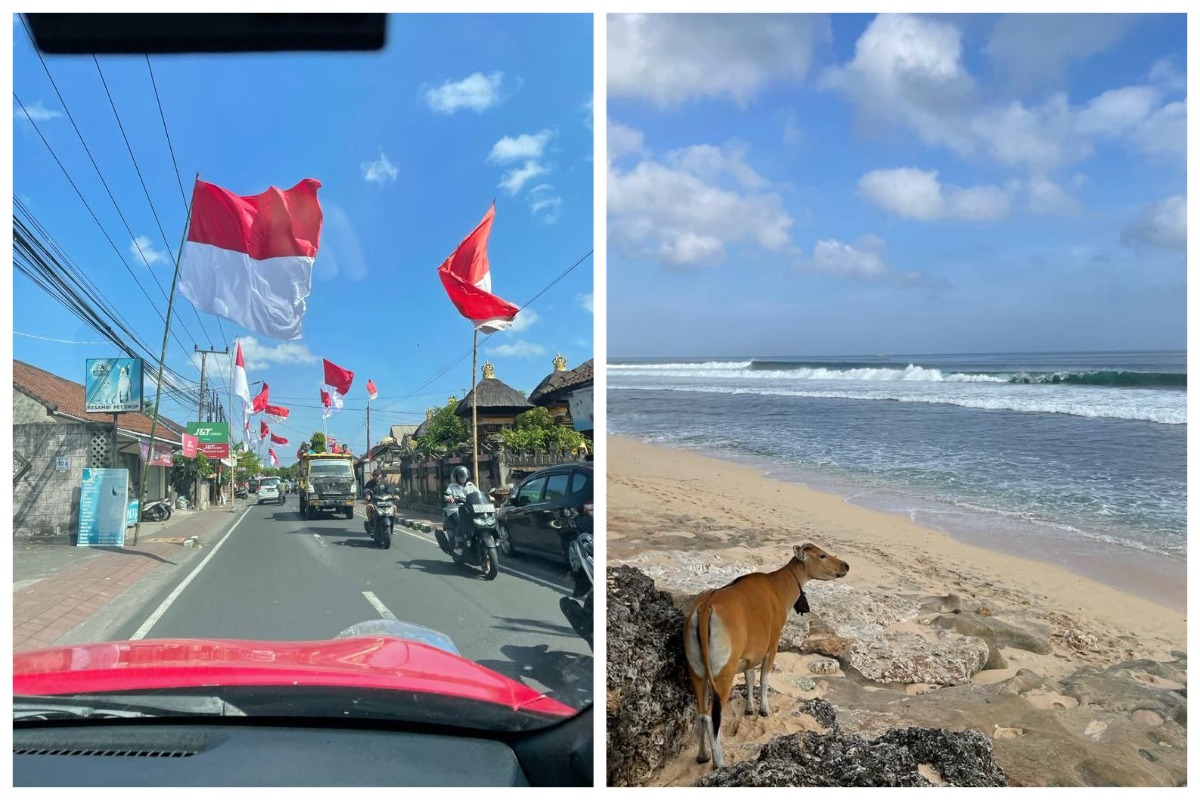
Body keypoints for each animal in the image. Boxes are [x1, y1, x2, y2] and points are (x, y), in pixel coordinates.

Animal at [686, 544, 844, 767]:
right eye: (822, 555)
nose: (845, 565)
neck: (778, 586)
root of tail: (706, 607)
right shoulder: (772, 645)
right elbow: (764, 678)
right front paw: (764, 710)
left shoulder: (750, 654)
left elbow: (750, 677)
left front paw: (749, 709)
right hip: (724, 673)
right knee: (711, 716)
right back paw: (719, 762)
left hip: (697, 672)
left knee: (700, 712)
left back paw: (702, 755)